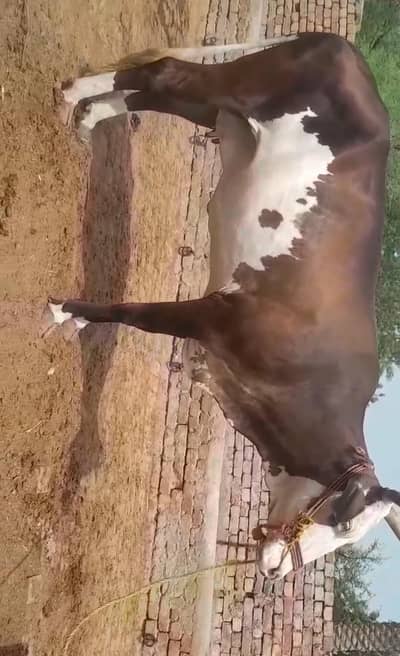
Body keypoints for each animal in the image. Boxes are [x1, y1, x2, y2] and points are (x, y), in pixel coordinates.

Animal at [44, 32, 400, 579]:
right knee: (164, 73)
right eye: (342, 522)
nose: (276, 572)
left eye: (346, 541)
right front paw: (65, 312)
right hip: (240, 88)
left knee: (155, 91)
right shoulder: (214, 315)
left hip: (220, 111)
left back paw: (90, 114)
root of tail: (342, 47)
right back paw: (73, 93)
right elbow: (135, 315)